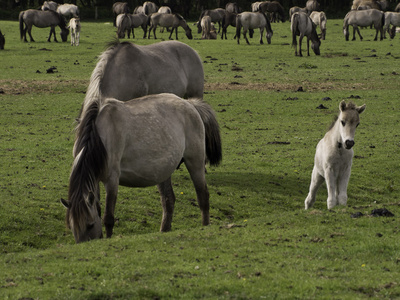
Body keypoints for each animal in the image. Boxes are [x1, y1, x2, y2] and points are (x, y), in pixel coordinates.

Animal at [62, 92, 222, 243]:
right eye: (72, 227)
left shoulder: (112, 179)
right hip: (163, 171)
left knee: (203, 196)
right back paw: (164, 230)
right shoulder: (95, 180)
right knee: (168, 201)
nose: (84, 243)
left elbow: (108, 218)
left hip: (195, 163)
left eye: (89, 225)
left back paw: (205, 225)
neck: (100, 137)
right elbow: (99, 209)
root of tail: (190, 104)